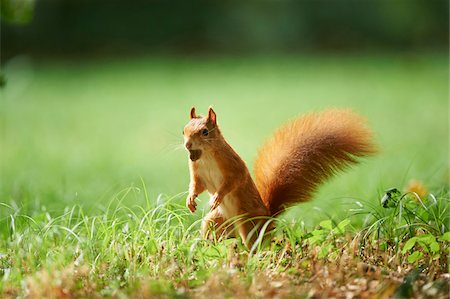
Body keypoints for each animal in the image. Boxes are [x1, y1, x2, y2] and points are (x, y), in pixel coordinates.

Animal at [183, 107, 376, 248]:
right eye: (183, 130)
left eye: (205, 132)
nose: (187, 145)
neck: (206, 155)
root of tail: (268, 218)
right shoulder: (197, 173)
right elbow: (196, 185)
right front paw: (190, 200)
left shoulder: (234, 166)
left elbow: (233, 181)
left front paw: (217, 197)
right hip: (217, 220)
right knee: (214, 231)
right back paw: (207, 247)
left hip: (248, 224)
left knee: (255, 244)